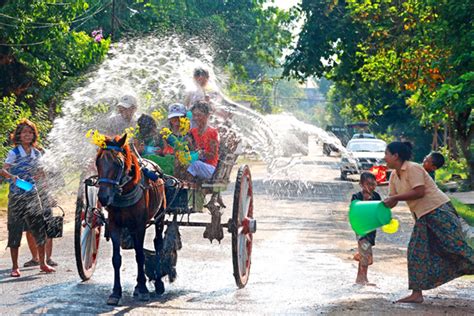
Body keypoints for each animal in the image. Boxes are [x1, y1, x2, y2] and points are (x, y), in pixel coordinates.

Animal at [95, 135, 166, 304]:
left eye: (118, 163)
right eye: (98, 162)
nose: (103, 197)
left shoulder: (139, 226)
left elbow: (140, 256)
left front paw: (144, 289)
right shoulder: (114, 225)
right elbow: (116, 259)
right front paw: (115, 292)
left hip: (160, 215)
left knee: (158, 243)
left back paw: (158, 283)